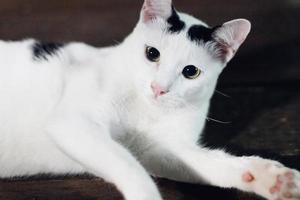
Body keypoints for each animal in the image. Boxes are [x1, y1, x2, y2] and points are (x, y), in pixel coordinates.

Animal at [0, 0, 298, 200]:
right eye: (152, 54)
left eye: (191, 72)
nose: (158, 88)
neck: (147, 110)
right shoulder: (73, 123)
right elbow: (126, 163)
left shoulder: (158, 151)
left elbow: (213, 164)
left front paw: (270, 178)